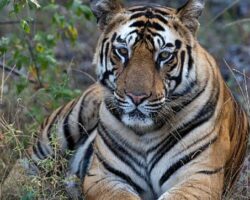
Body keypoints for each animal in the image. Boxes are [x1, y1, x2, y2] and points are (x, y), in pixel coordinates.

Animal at [22, 0, 249, 199]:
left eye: (164, 55)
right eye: (123, 51)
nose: (137, 97)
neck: (146, 133)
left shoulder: (199, 177)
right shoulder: (104, 176)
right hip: (67, 122)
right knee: (25, 163)